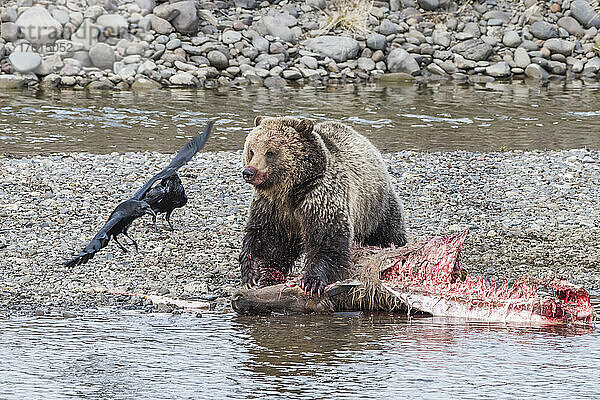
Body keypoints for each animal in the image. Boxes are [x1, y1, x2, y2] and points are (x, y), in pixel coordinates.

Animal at [237, 115, 406, 294]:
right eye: (251, 150)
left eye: (270, 152)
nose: (249, 172)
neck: (291, 190)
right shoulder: (271, 206)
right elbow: (265, 237)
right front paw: (250, 274)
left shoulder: (320, 196)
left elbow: (326, 237)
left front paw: (311, 281)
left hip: (375, 206)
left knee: (389, 231)